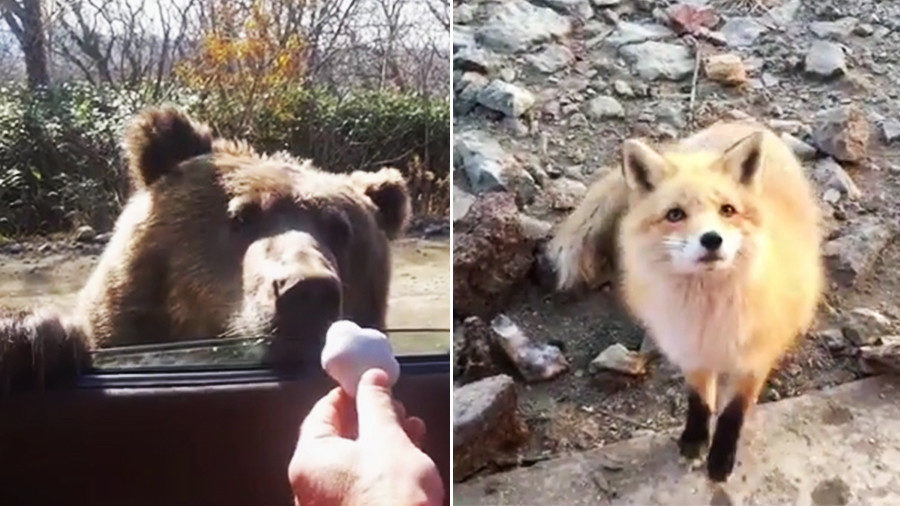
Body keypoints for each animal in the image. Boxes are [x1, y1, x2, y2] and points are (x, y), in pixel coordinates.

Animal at [544, 121, 823, 481]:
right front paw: (694, 442)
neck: (710, 313)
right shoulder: (690, 346)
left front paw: (720, 459)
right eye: (675, 214)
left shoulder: (755, 355)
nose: (712, 239)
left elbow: (733, 411)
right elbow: (700, 401)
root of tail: (740, 122)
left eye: (727, 210)